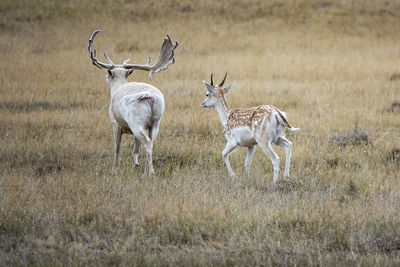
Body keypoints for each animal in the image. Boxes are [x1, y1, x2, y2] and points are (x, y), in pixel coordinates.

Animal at [88, 29, 177, 176]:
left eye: (109, 74)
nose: (106, 76)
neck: (117, 88)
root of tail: (149, 96)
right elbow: (136, 148)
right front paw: (136, 164)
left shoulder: (115, 123)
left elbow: (117, 148)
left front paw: (114, 170)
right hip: (156, 122)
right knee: (150, 142)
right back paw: (146, 169)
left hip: (136, 122)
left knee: (147, 142)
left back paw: (151, 172)